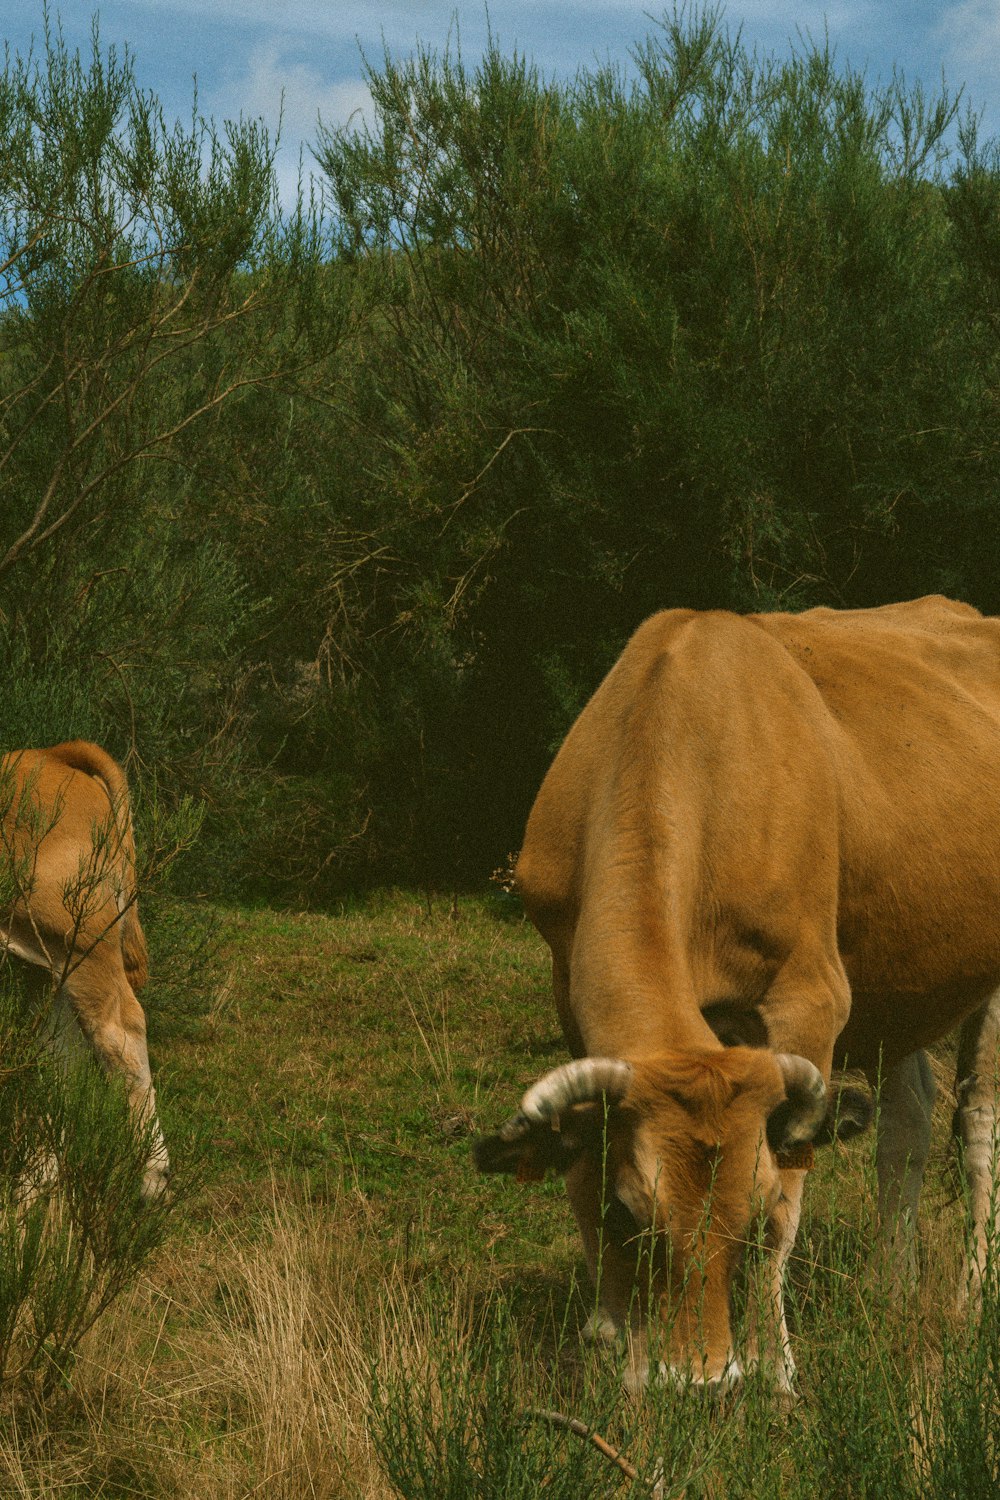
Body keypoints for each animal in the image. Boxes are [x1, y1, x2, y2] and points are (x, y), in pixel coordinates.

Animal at [0, 738, 167, 1194]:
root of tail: (50, 754)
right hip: (49, 960)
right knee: (65, 1054)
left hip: (81, 939)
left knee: (121, 1029)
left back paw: (153, 1172)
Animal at [473, 594, 1000, 1392]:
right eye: (633, 1217)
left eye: (748, 1216)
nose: (700, 1381)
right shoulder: (567, 989)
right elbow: (582, 1168)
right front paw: (609, 1335)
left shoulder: (810, 1000)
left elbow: (791, 1200)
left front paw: (775, 1371)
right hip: (903, 974)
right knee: (908, 1117)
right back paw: (891, 1287)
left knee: (977, 1123)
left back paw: (969, 1300)